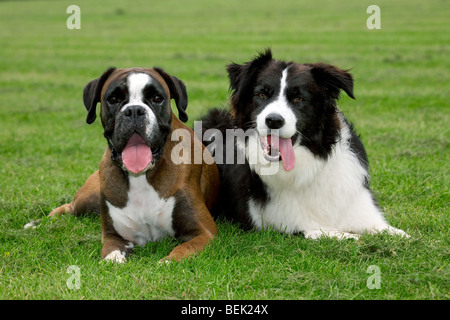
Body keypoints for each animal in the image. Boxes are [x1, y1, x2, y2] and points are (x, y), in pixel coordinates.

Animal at [26, 66, 220, 262]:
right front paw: (114, 260)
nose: (134, 111)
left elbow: (182, 250)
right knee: (68, 207)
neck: (141, 177)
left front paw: (166, 262)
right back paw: (36, 223)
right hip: (89, 198)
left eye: (157, 98)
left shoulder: (204, 232)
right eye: (113, 100)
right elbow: (111, 253)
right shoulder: (113, 235)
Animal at [202, 50, 410, 239]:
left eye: (299, 98)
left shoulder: (359, 206)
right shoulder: (283, 222)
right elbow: (335, 234)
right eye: (261, 94)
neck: (307, 167)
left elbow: (396, 233)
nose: (274, 121)